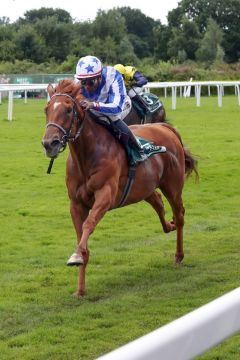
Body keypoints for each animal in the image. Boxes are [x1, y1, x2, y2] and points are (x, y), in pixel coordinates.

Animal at [42, 80, 198, 296]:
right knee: (158, 202)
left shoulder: (106, 195)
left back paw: (178, 254)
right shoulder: (76, 203)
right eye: (46, 109)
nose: (49, 143)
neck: (87, 156)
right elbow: (81, 235)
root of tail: (166, 128)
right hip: (144, 187)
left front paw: (76, 256)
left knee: (180, 214)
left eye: (68, 110)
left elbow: (88, 224)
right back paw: (170, 225)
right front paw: (80, 289)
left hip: (173, 185)